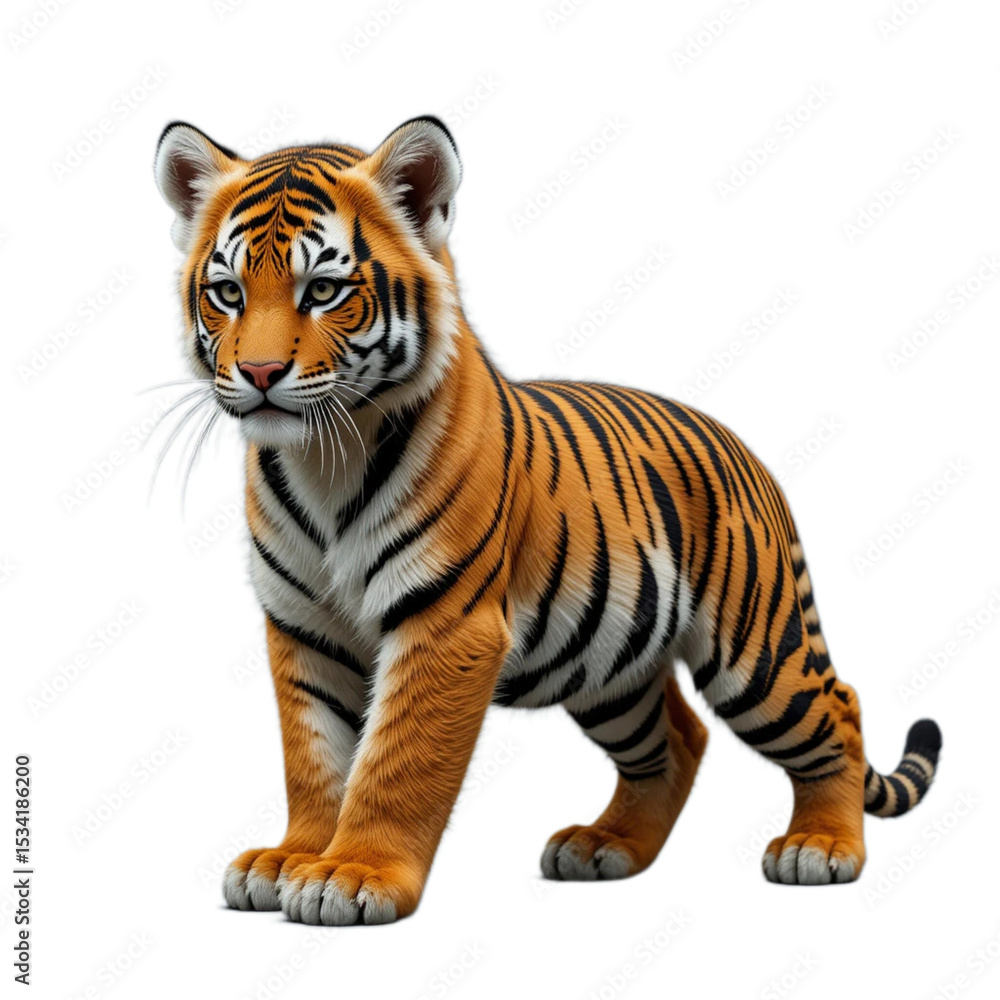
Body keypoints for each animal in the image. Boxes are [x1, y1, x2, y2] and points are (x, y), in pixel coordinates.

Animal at [153, 115, 942, 926]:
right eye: (227, 292)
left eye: (323, 290)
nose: (259, 375)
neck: (320, 460)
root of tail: (743, 449)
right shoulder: (304, 626)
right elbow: (312, 757)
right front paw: (292, 858)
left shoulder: (446, 623)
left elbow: (396, 761)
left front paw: (353, 874)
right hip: (610, 670)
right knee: (679, 739)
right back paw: (607, 846)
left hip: (755, 651)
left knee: (838, 709)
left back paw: (821, 847)